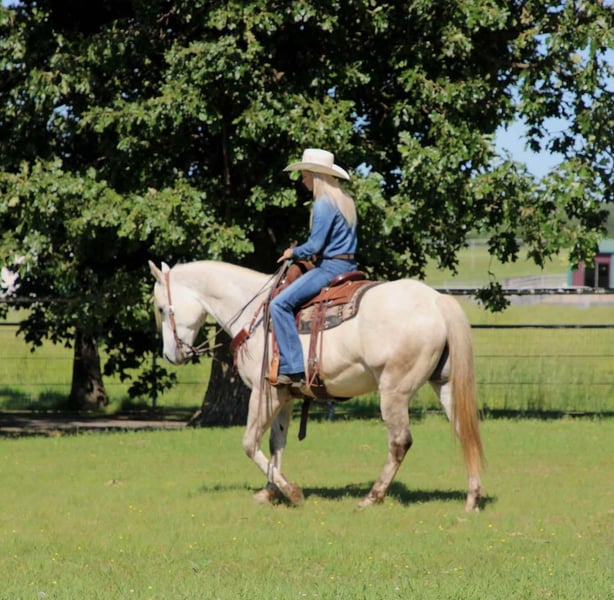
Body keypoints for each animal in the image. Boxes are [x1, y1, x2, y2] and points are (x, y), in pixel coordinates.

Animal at [149, 259, 484, 511]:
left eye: (162, 309)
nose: (170, 355)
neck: (256, 314)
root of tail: (437, 300)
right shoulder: (284, 395)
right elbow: (276, 443)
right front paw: (270, 490)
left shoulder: (263, 393)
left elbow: (250, 443)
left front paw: (290, 491)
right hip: (443, 384)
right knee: (464, 430)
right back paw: (472, 498)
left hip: (394, 391)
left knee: (400, 441)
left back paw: (372, 496)